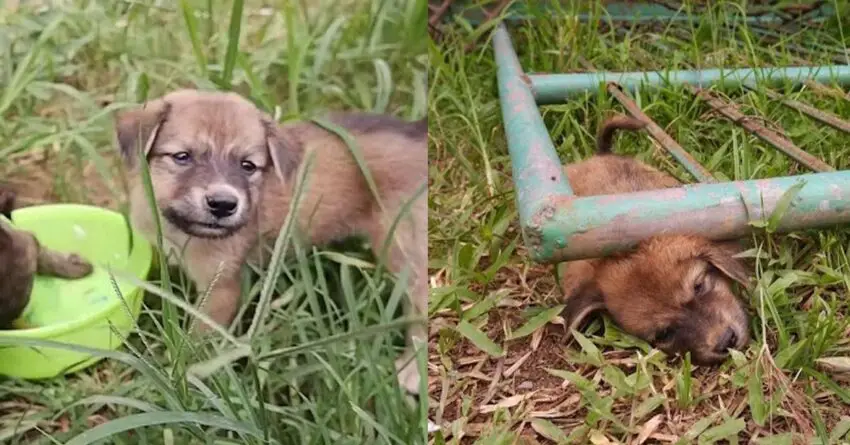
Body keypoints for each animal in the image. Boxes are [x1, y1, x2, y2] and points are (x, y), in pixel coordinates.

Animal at [114, 89, 424, 392]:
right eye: (182, 156)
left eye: (247, 165)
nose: (223, 205)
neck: (177, 227)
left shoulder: (221, 289)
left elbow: (196, 340)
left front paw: (184, 375)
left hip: (402, 248)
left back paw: (412, 371)